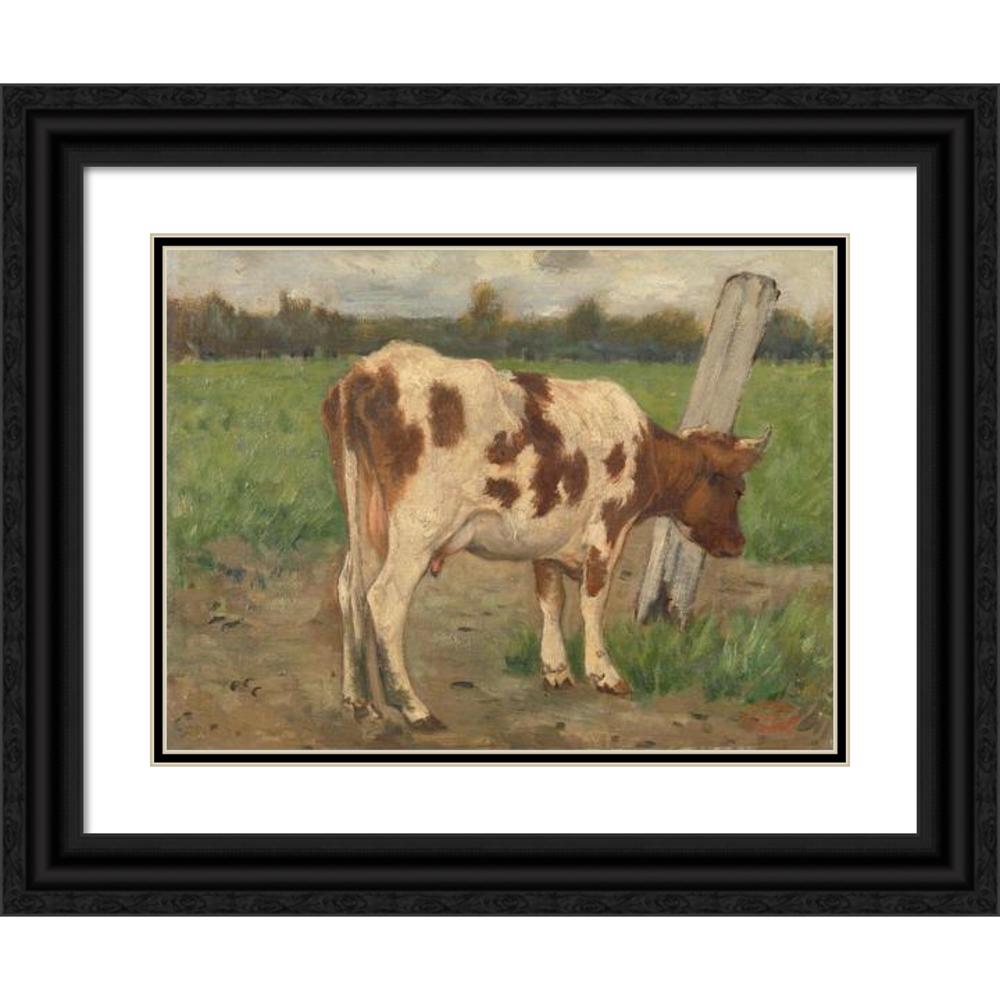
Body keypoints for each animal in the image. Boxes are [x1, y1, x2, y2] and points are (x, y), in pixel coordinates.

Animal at [322, 341, 771, 730]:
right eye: (739, 489)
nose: (738, 543)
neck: (645, 450)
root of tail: (370, 369)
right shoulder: (608, 531)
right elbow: (593, 602)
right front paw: (604, 674)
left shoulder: (547, 537)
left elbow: (551, 600)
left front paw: (555, 670)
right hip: (418, 530)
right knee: (384, 599)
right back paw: (413, 707)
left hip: (366, 519)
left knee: (349, 589)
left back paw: (358, 702)